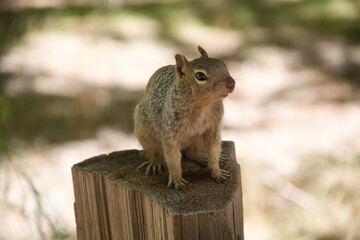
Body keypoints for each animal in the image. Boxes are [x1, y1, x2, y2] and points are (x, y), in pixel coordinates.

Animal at [134, 46, 235, 189]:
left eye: (224, 65)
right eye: (200, 76)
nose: (231, 84)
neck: (203, 105)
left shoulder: (213, 129)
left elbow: (214, 151)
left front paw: (217, 172)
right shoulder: (170, 131)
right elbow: (173, 158)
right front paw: (177, 179)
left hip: (197, 138)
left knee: (190, 152)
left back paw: (204, 157)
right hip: (144, 132)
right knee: (154, 151)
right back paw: (156, 162)